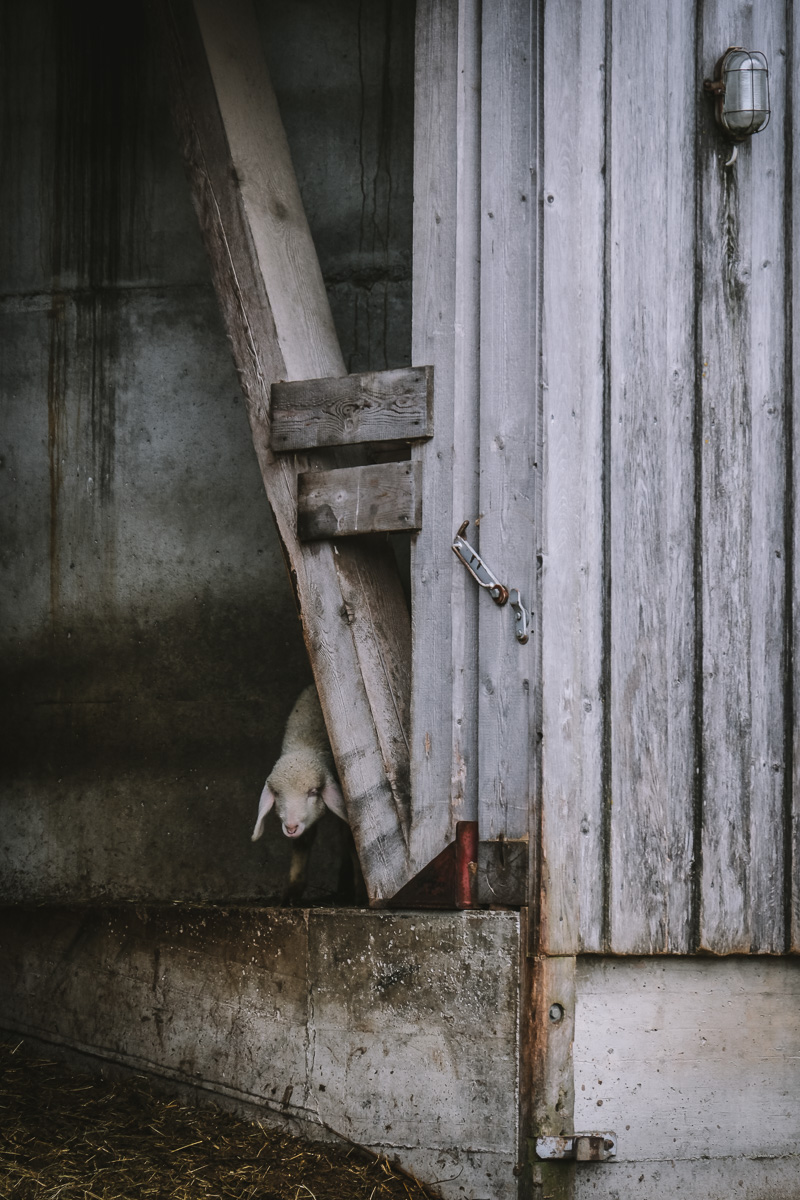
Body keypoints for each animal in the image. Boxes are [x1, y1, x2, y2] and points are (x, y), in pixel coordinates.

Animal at [250, 686, 350, 902]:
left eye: (313, 792)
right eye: (277, 793)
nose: (291, 827)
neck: (306, 743)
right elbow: (303, 842)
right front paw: (293, 890)